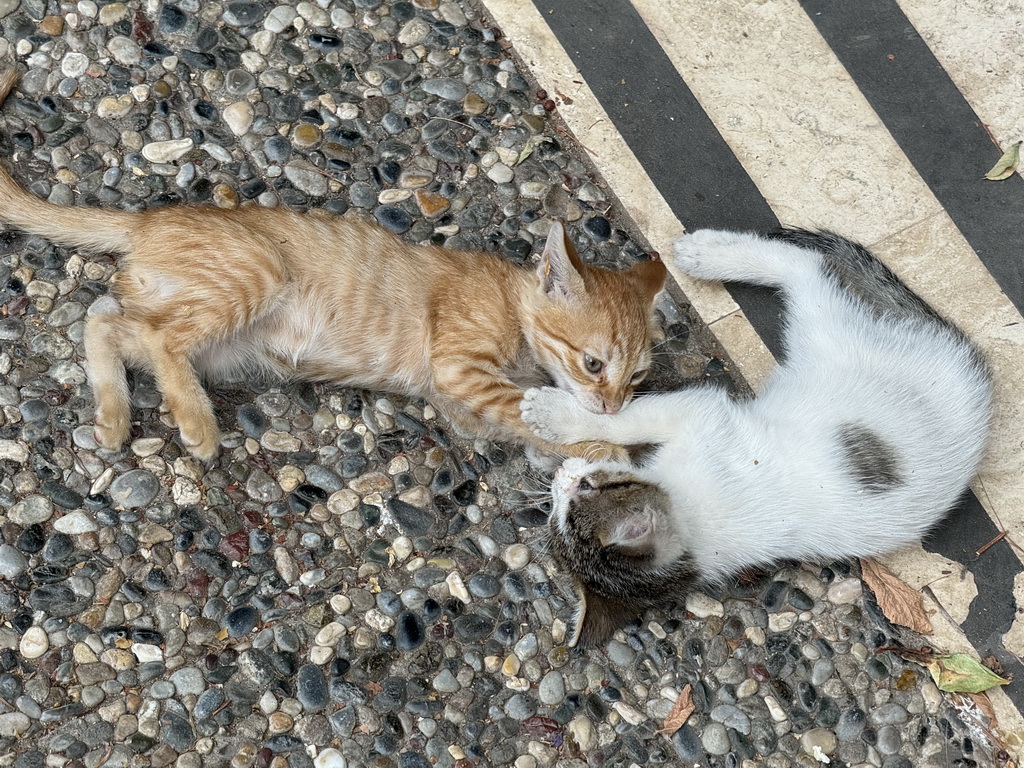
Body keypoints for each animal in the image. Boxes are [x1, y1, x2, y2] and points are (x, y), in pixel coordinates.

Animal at [0, 67, 663, 462]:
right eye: (594, 363)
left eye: (636, 378)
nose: (614, 406)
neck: (515, 304)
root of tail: (148, 221)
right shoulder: (462, 369)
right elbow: (546, 421)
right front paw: (611, 454)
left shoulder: (465, 406)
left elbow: (530, 424)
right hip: (253, 277)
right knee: (155, 338)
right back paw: (196, 423)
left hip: (209, 334)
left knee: (106, 319)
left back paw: (112, 417)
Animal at [520, 230, 991, 651]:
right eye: (554, 518)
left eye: (586, 490)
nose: (563, 480)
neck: (693, 524)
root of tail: (972, 373)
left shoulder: (704, 413)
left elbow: (625, 419)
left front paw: (555, 416)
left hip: (830, 337)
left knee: (809, 269)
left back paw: (709, 253)